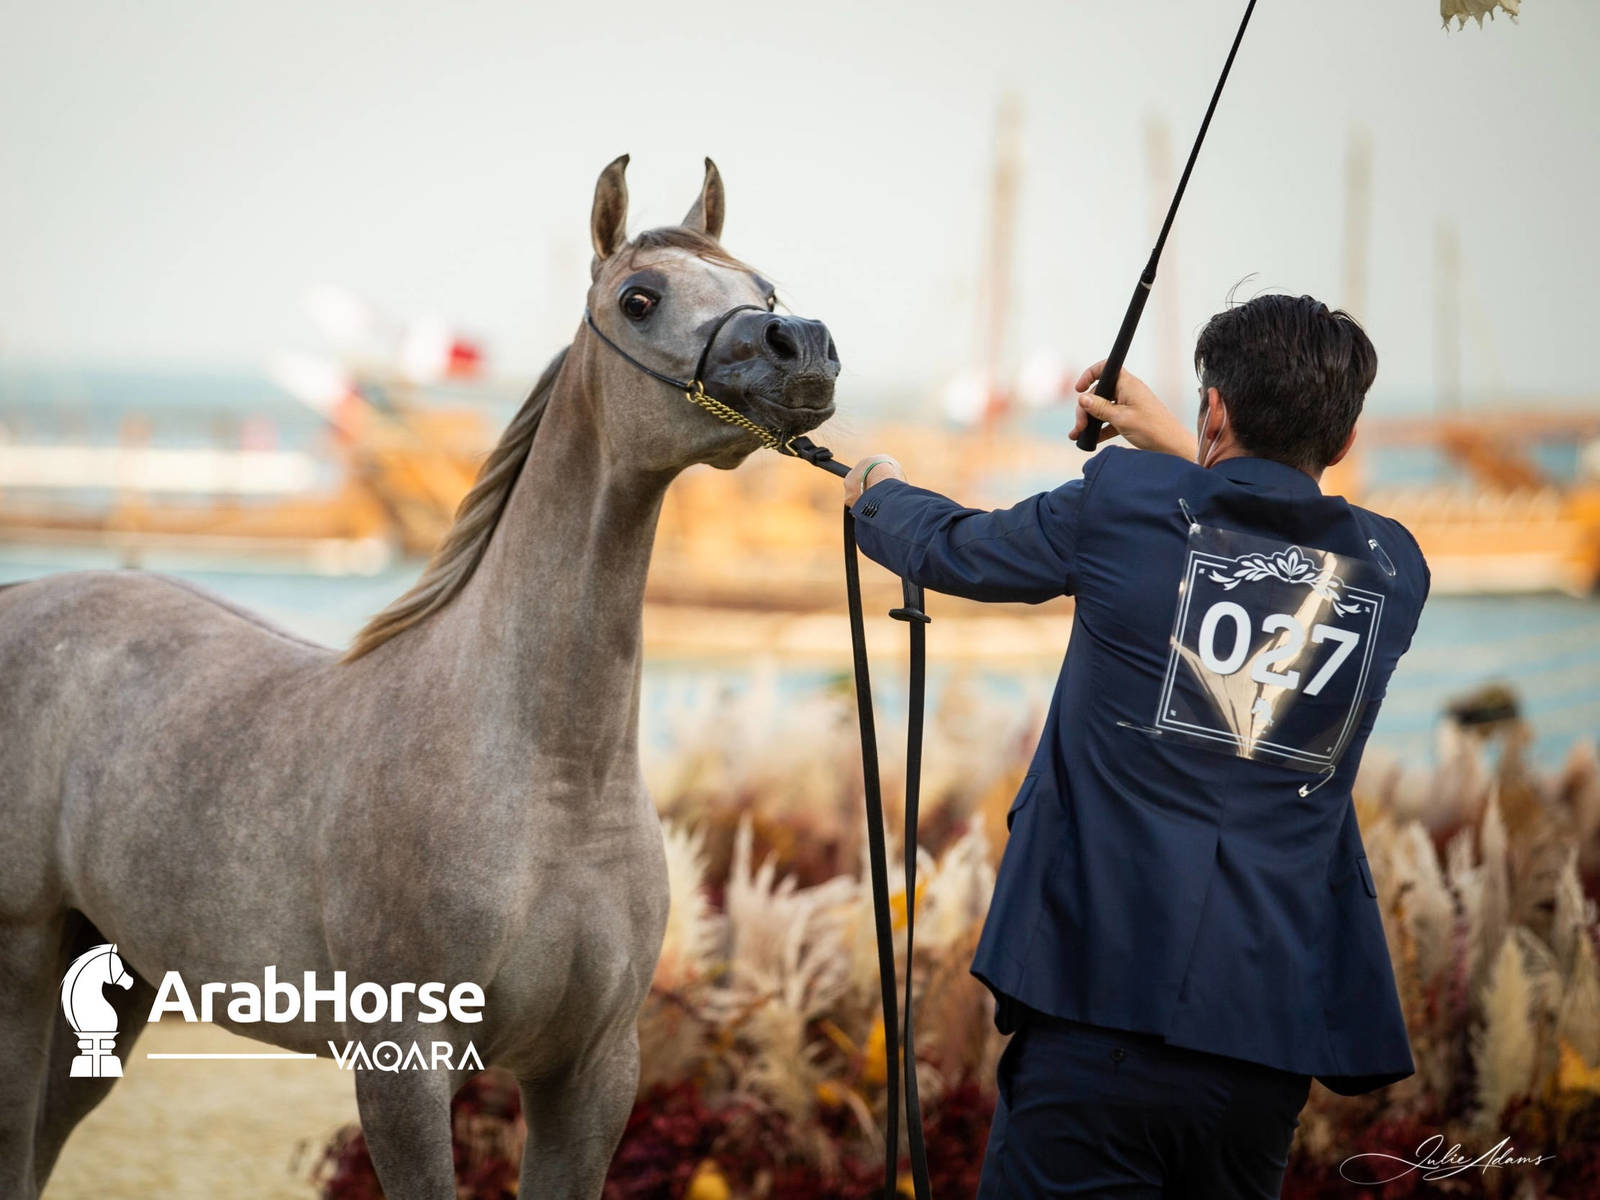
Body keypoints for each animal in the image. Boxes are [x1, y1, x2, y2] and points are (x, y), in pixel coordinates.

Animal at [0, 155, 839, 1199]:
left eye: (761, 289)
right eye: (640, 298)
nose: (803, 345)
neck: (551, 781)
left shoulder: (593, 1074)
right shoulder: (404, 1062)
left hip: (110, 981)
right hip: (21, 962)